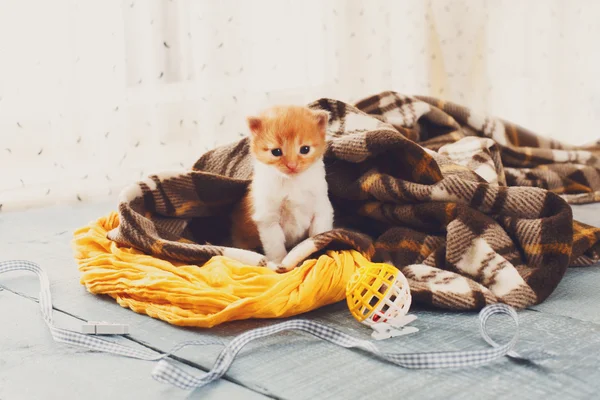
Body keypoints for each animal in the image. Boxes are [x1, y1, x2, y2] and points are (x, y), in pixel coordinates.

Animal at [230, 104, 332, 270]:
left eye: (305, 149)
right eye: (276, 151)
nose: (292, 165)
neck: (292, 182)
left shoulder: (322, 208)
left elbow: (318, 232)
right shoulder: (268, 220)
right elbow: (275, 246)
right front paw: (279, 264)